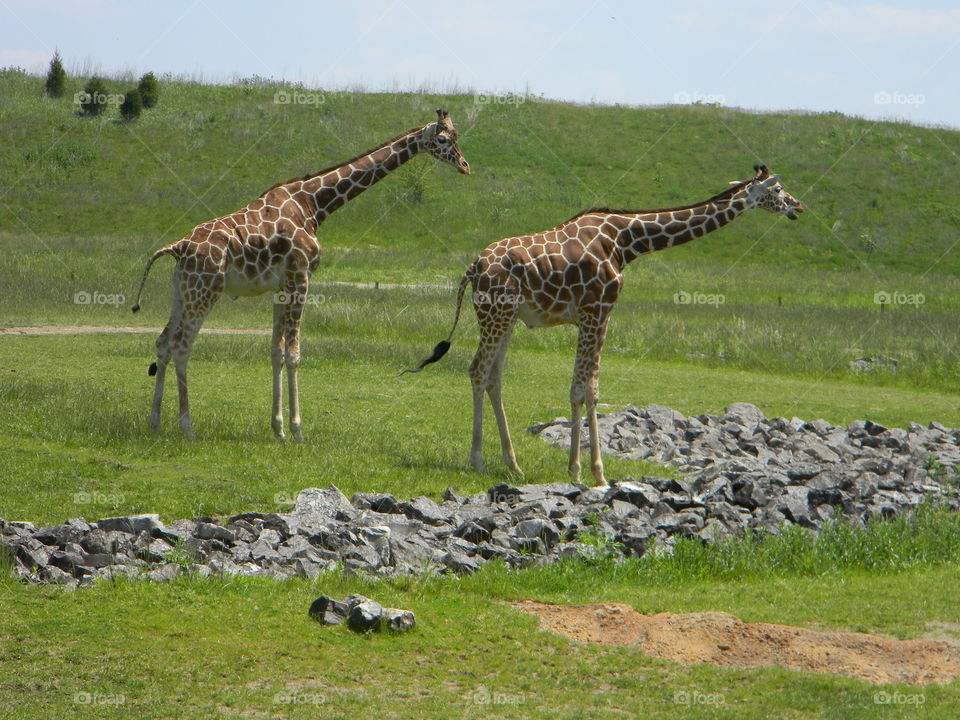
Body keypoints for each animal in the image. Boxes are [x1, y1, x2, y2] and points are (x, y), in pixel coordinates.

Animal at [132, 109, 470, 441]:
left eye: (457, 137)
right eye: (442, 139)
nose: (465, 166)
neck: (314, 204)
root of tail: (178, 247)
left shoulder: (282, 286)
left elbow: (275, 352)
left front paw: (278, 428)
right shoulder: (301, 278)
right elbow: (294, 354)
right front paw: (297, 430)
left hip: (182, 292)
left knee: (163, 342)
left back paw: (154, 421)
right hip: (205, 292)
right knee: (182, 345)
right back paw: (187, 427)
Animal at [407, 165, 803, 486]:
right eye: (778, 189)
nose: (798, 206)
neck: (626, 241)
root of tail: (472, 268)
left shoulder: (595, 315)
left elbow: (586, 388)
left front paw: (582, 468)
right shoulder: (597, 311)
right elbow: (585, 391)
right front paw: (589, 472)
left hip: (506, 318)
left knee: (493, 377)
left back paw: (513, 465)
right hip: (495, 314)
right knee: (477, 370)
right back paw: (477, 462)